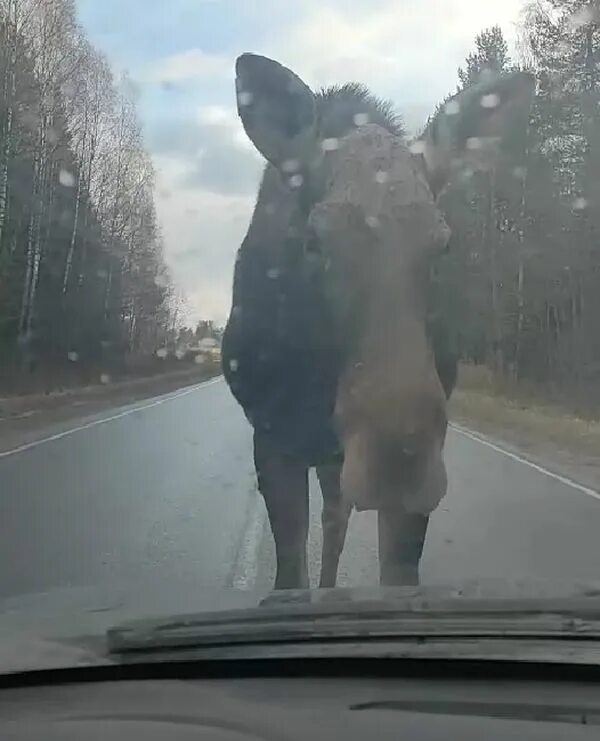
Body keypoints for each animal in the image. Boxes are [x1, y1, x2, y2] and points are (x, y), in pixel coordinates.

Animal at [223, 53, 532, 588]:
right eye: (313, 240)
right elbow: (290, 574)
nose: (399, 458)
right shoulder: (273, 435)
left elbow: (397, 573)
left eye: (443, 243)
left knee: (336, 522)